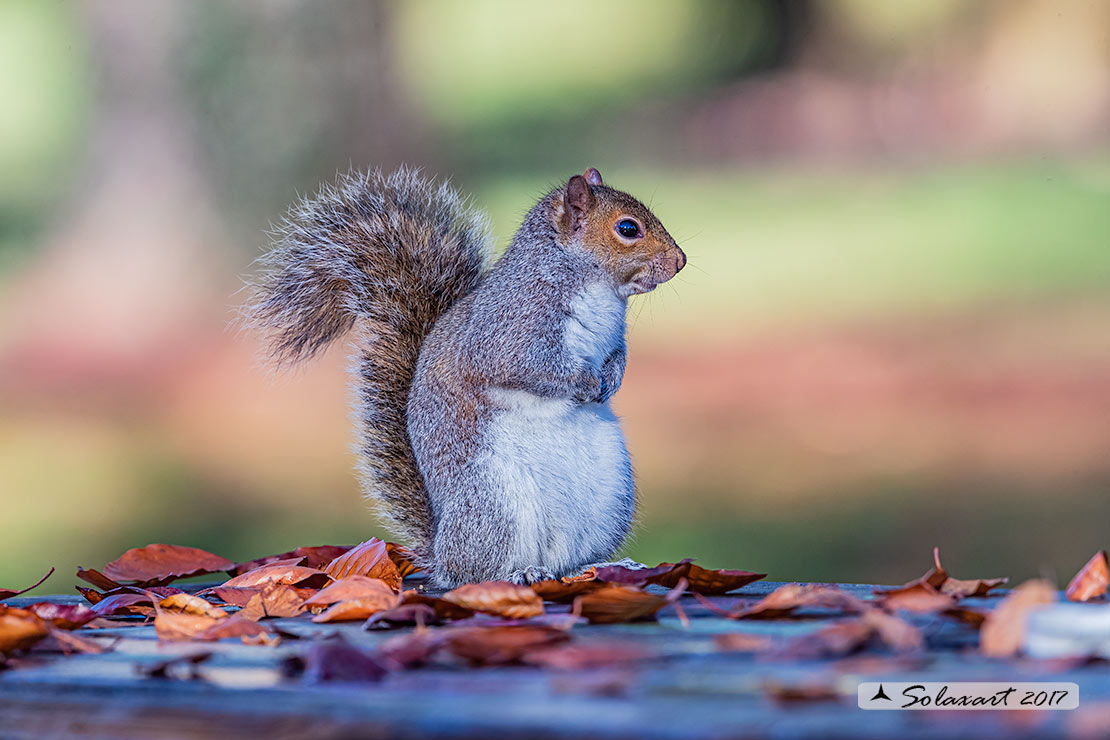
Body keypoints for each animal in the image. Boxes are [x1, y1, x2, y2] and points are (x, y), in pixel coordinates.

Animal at [245, 165, 683, 585]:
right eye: (628, 228)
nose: (680, 261)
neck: (596, 288)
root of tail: (441, 550)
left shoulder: (613, 338)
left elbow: (618, 357)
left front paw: (611, 379)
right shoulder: (508, 334)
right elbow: (535, 368)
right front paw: (588, 383)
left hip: (607, 500)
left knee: (564, 563)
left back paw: (597, 566)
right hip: (493, 500)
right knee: (476, 572)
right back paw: (517, 573)